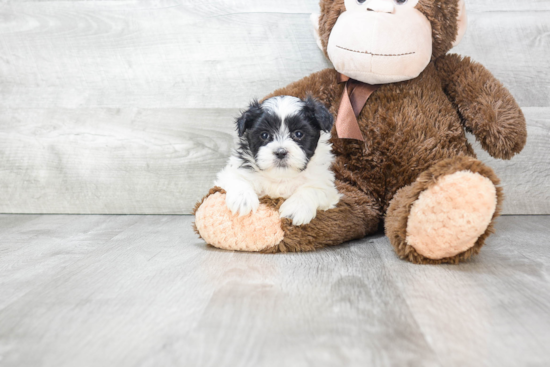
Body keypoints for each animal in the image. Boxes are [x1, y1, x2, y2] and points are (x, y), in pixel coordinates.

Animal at [215, 96, 340, 226]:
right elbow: (237, 178)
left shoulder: (326, 186)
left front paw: (296, 208)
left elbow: (312, 189)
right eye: (264, 135)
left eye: (298, 134)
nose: (281, 152)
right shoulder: (231, 172)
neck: (281, 177)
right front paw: (243, 199)